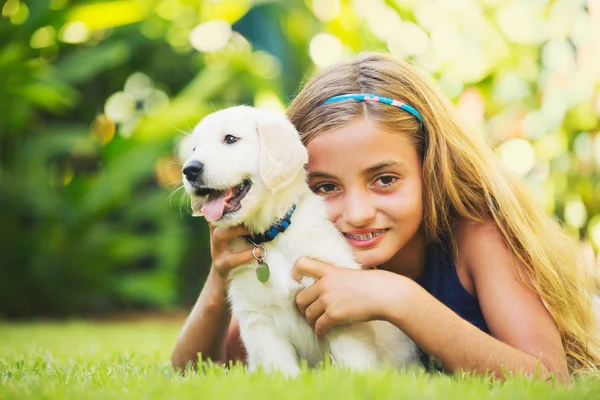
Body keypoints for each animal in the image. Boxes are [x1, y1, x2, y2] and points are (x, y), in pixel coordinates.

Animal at [183, 105, 414, 376]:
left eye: (230, 139)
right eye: (194, 148)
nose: (189, 169)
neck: (271, 237)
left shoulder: (336, 305)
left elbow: (354, 359)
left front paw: (359, 379)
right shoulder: (258, 319)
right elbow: (280, 368)